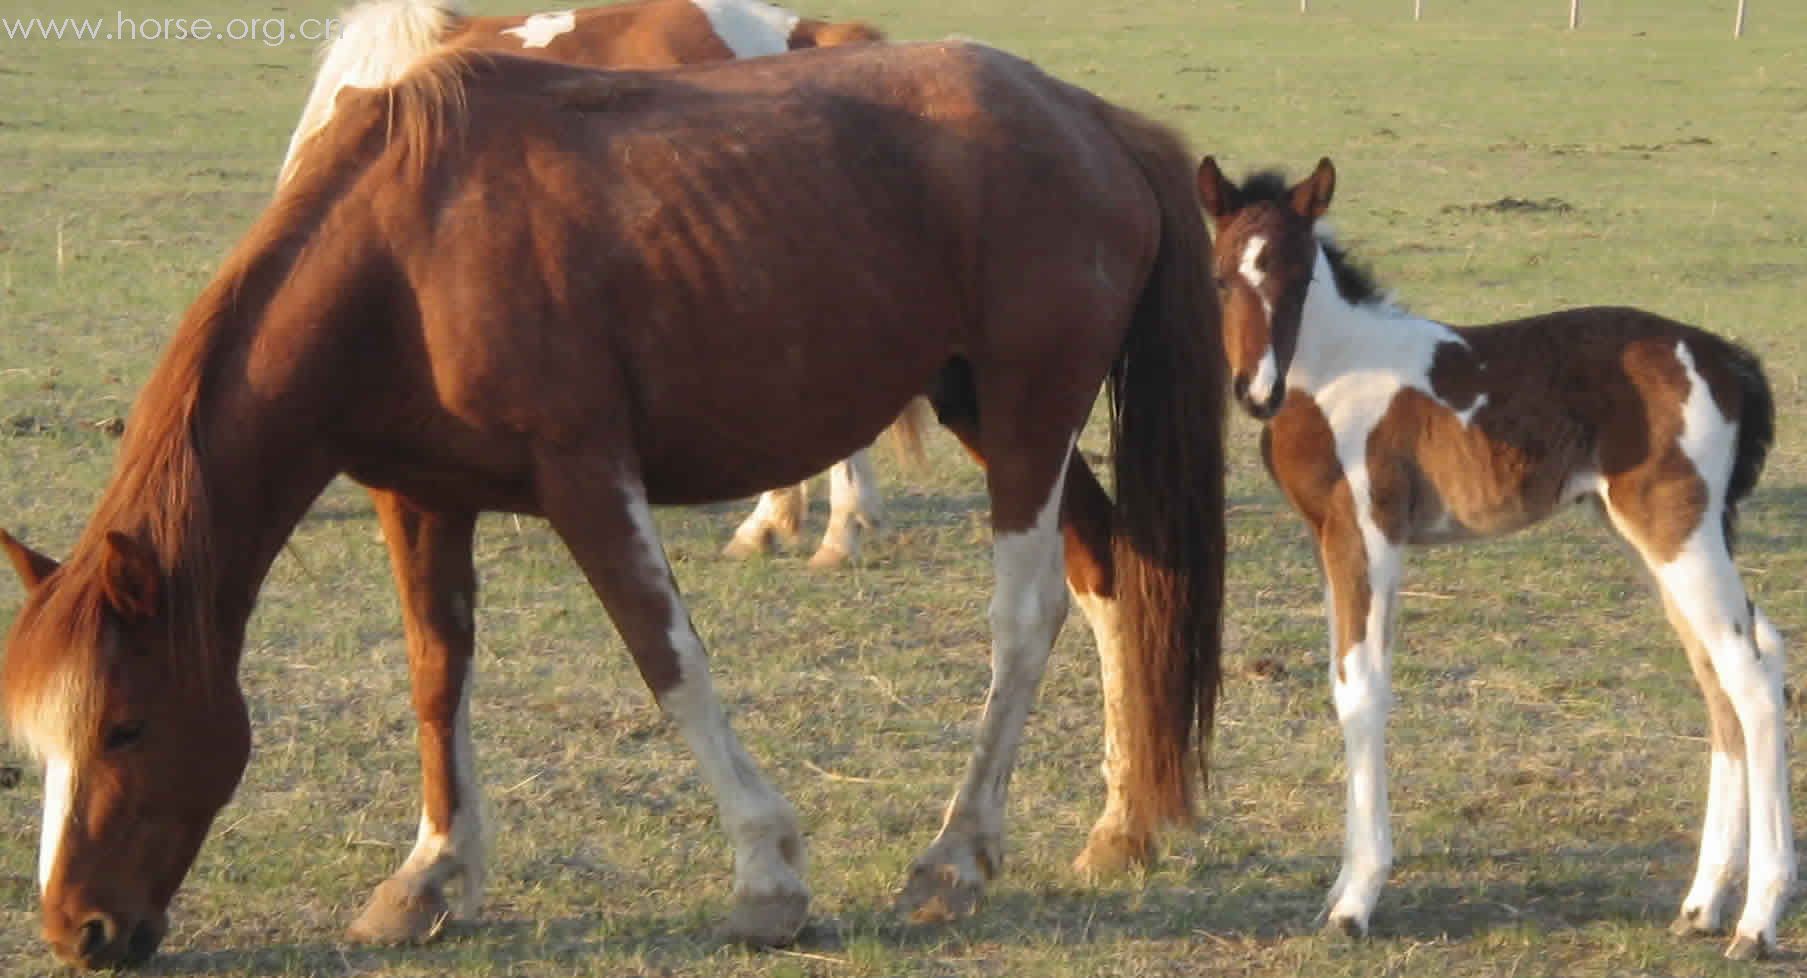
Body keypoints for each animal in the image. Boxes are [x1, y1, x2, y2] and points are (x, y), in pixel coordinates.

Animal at [1199, 156, 1792, 954]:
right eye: (1222, 278)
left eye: (1296, 280)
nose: (1255, 392)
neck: (1335, 370)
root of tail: (1723, 357)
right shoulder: (1326, 538)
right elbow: (1342, 681)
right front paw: (1339, 888)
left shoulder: (1370, 532)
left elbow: (1363, 691)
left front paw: (1356, 901)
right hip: (1657, 535)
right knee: (1729, 668)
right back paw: (1701, 906)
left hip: (1680, 531)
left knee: (1749, 677)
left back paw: (1756, 922)